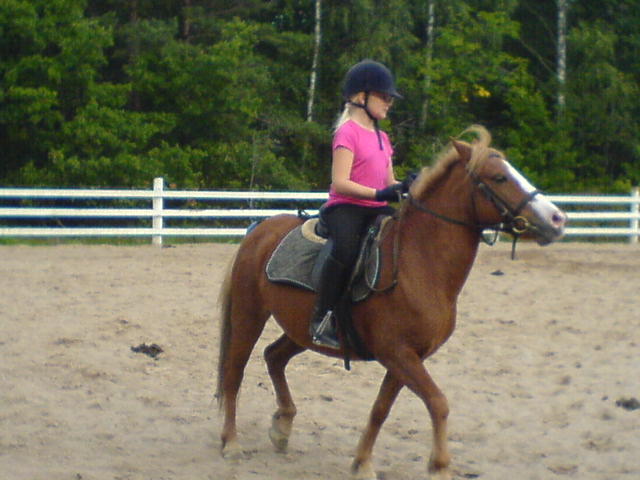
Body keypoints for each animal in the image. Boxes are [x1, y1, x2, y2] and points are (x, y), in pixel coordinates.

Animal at [215, 125, 567, 479]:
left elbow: (381, 410)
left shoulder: (408, 358)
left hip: (300, 330)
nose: (557, 218)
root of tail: (260, 230)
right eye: (499, 177)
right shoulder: (397, 353)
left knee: (274, 357)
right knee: (234, 373)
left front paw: (362, 463)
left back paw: (282, 426)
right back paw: (231, 443)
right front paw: (440, 466)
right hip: (249, 316)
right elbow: (438, 403)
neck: (418, 263)